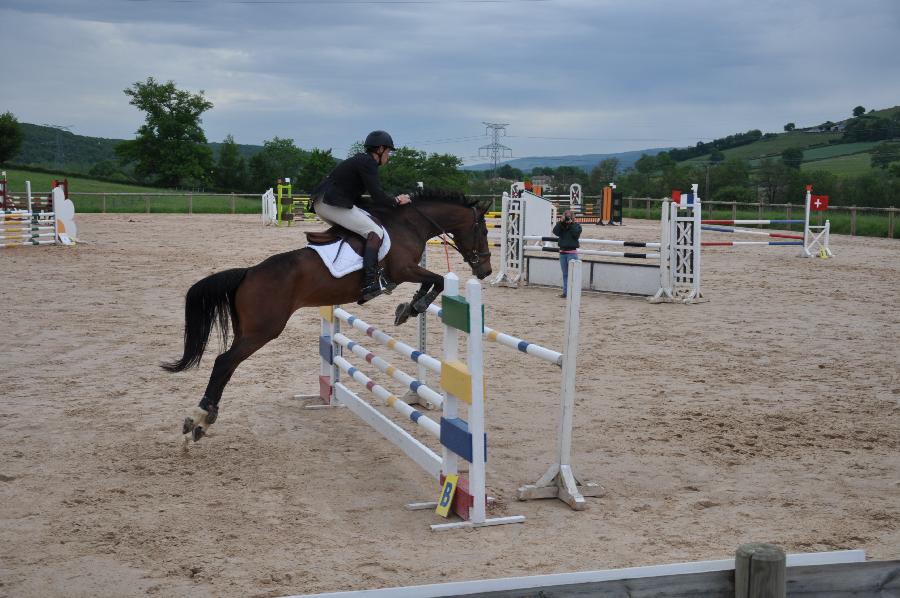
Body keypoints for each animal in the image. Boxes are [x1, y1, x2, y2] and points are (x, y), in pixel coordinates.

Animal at [165, 190, 496, 442]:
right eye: (482, 230)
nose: (486, 271)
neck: (409, 224)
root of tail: (248, 273)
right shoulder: (404, 269)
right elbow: (437, 281)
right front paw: (413, 307)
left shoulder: (407, 272)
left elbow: (432, 282)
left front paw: (409, 307)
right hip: (263, 331)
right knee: (224, 362)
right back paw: (198, 418)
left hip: (247, 331)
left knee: (229, 365)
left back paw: (205, 418)